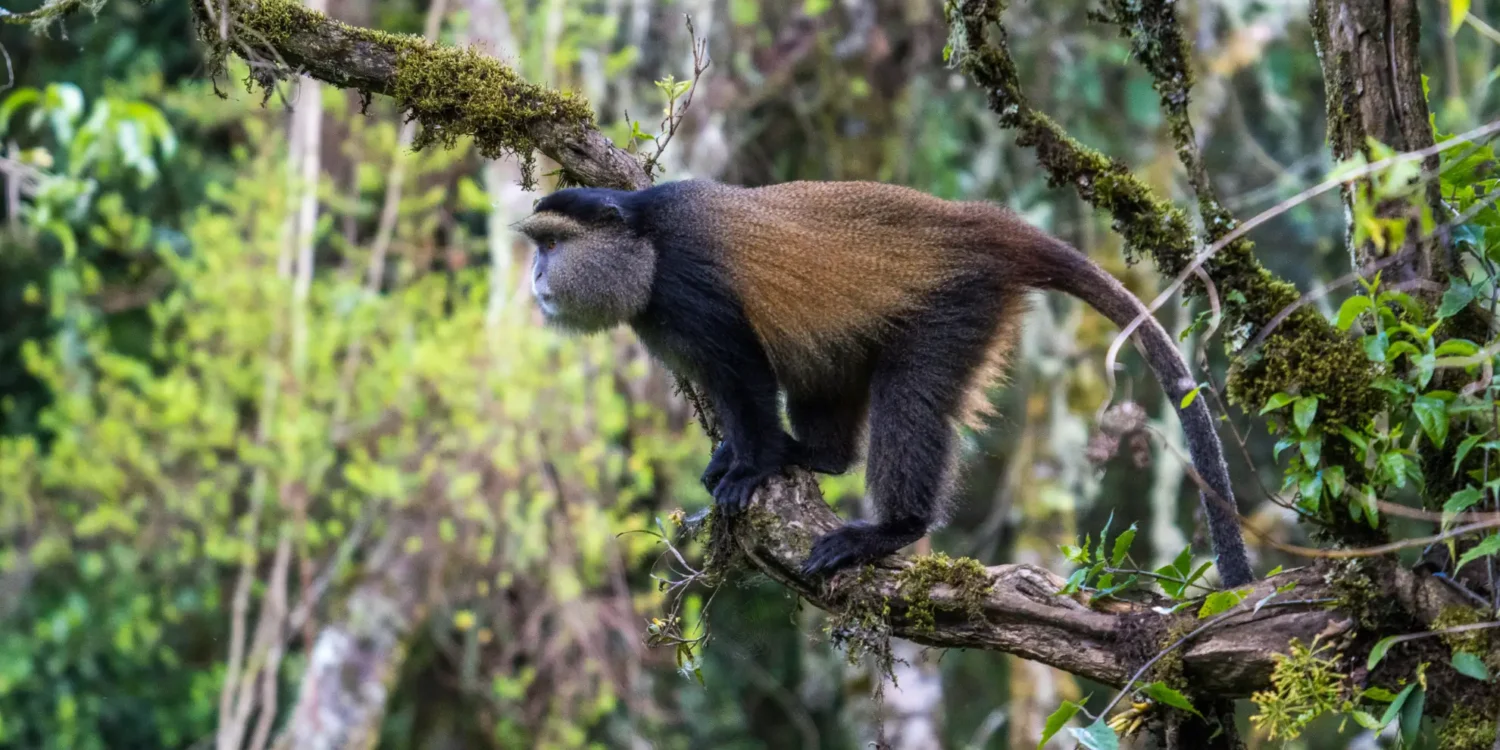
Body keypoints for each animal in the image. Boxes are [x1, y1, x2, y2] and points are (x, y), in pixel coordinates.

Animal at [515, 179, 1254, 587]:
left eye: (551, 244)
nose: (535, 277)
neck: (645, 239)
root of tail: (984, 222)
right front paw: (743, 458)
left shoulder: (690, 290)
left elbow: (744, 376)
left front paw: (751, 467)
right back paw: (817, 454)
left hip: (957, 307)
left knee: (912, 400)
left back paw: (893, 528)